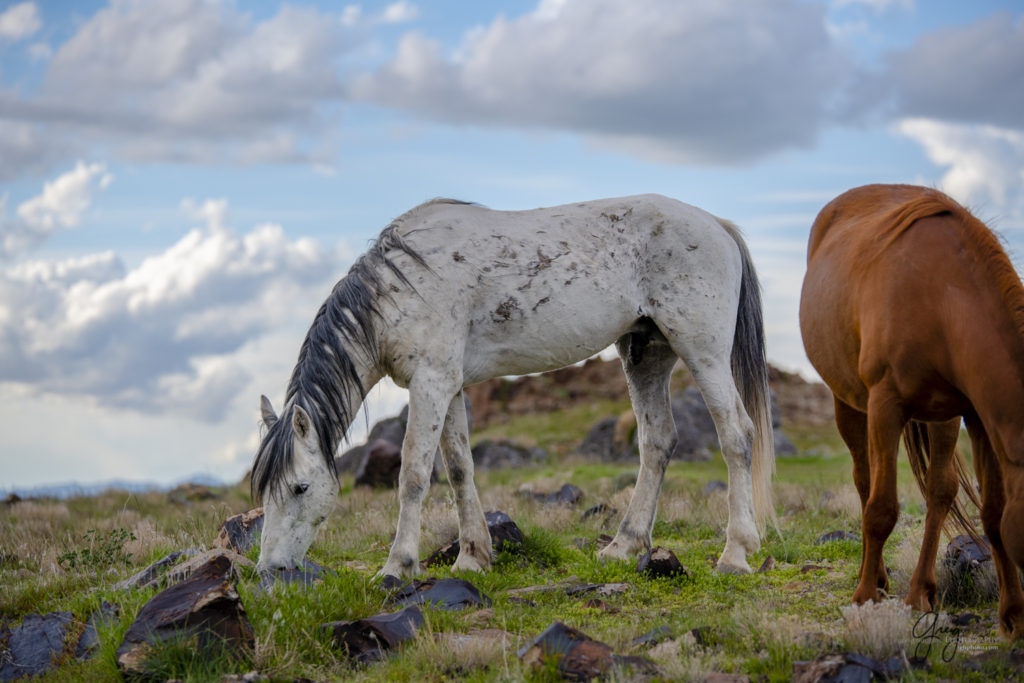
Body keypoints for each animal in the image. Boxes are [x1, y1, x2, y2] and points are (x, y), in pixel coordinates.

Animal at [251, 194, 770, 581]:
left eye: (299, 487)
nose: (269, 569)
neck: (399, 288)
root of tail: (717, 225)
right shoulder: (448, 386)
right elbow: (459, 469)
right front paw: (472, 557)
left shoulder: (430, 382)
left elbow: (414, 475)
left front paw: (397, 566)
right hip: (646, 354)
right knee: (658, 442)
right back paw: (623, 547)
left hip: (702, 351)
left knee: (736, 436)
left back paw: (735, 554)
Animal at [798, 184, 1024, 638]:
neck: (944, 296)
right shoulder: (885, 405)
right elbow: (881, 509)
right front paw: (863, 598)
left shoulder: (977, 414)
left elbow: (993, 514)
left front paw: (1012, 614)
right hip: (849, 404)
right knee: (865, 482)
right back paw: (877, 579)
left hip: (943, 417)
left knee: (940, 491)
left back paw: (921, 591)